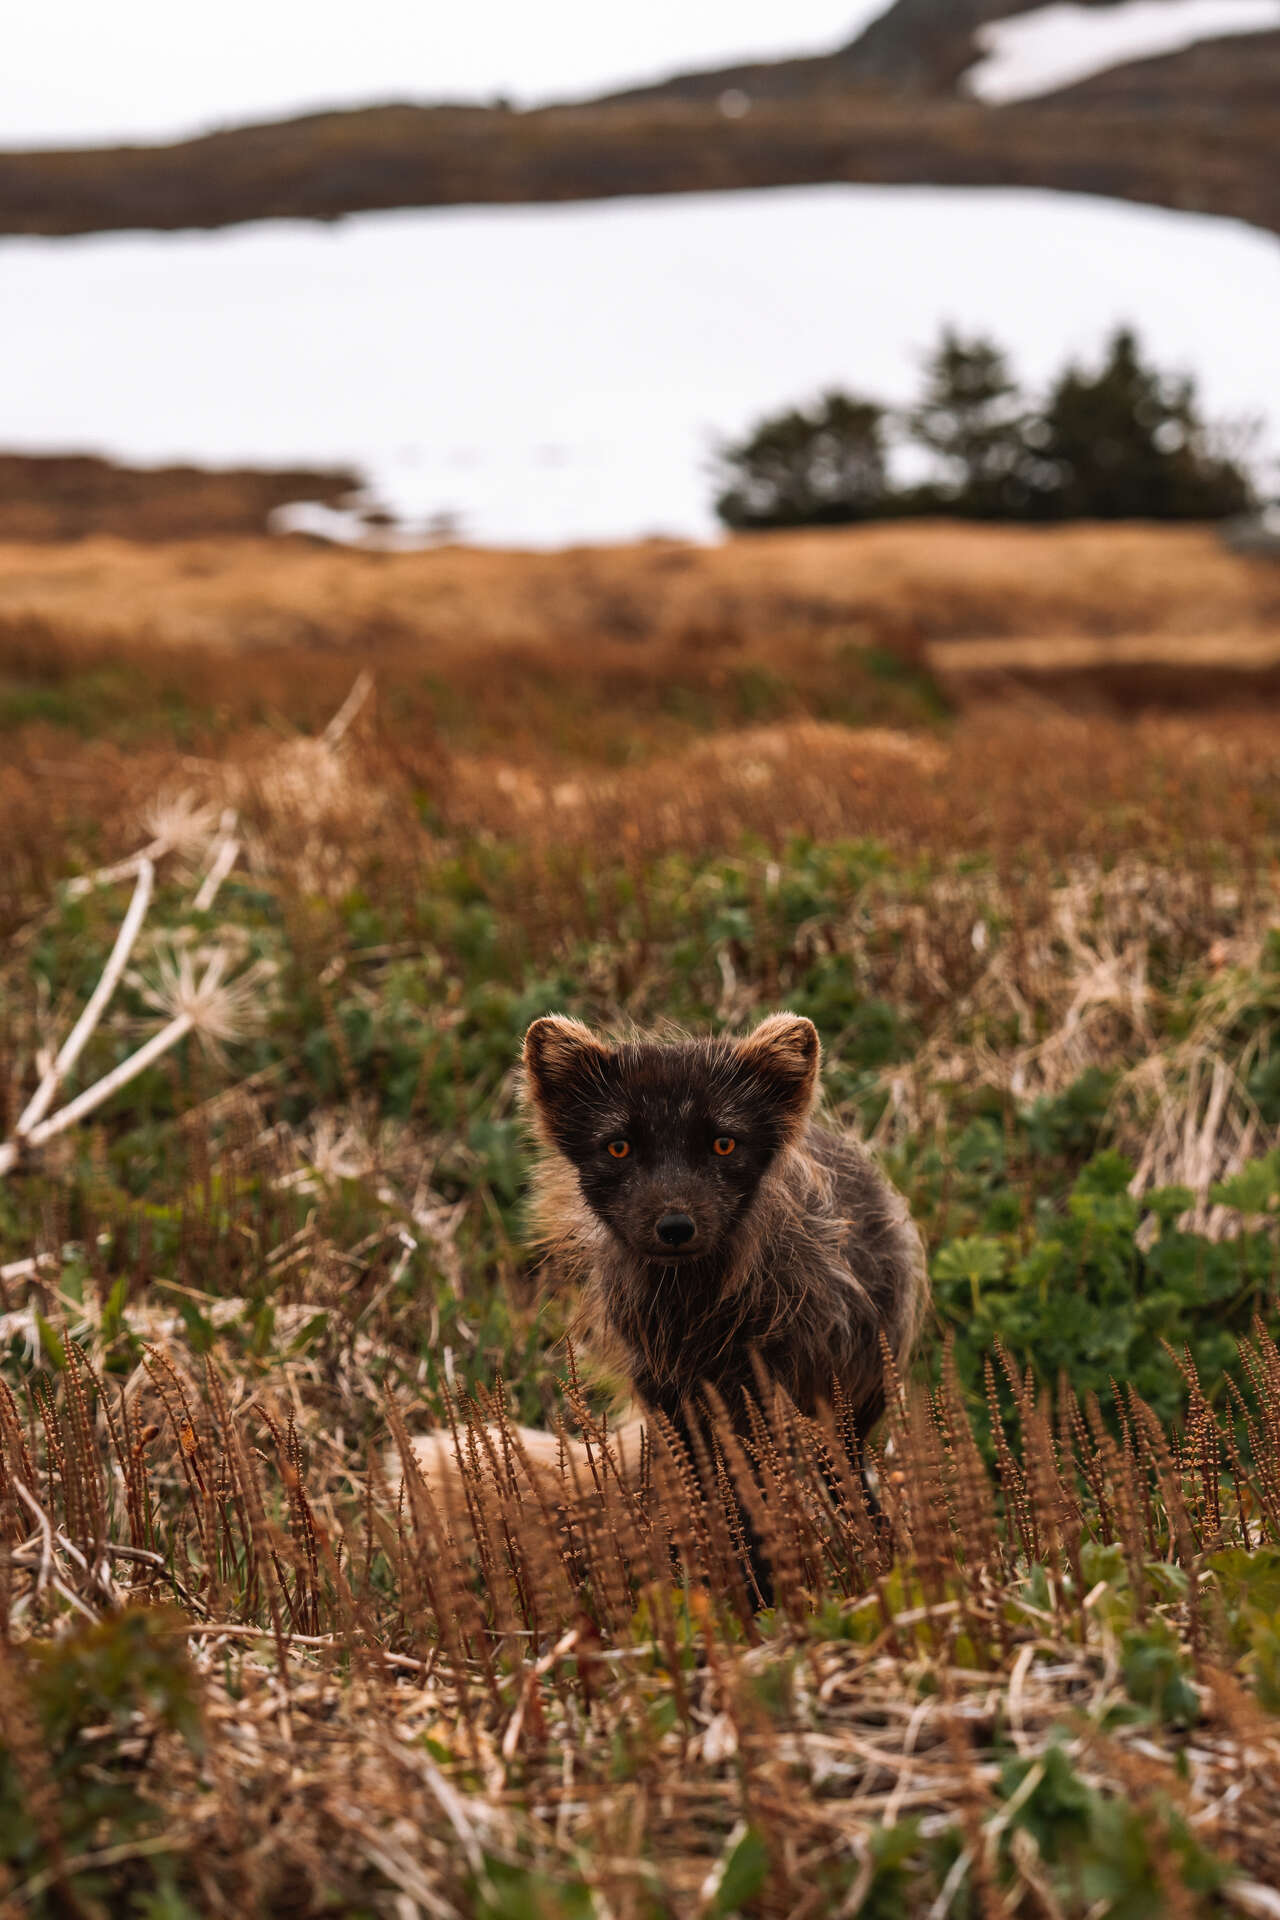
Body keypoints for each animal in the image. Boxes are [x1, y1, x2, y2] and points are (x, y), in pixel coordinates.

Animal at [395, 1012, 927, 1586]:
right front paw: (735, 1573)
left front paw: (764, 1581)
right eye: (619, 1147)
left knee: (842, 1469)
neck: (694, 1310)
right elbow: (713, 1488)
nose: (675, 1227)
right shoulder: (665, 1388)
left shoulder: (768, 1386)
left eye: (723, 1144)